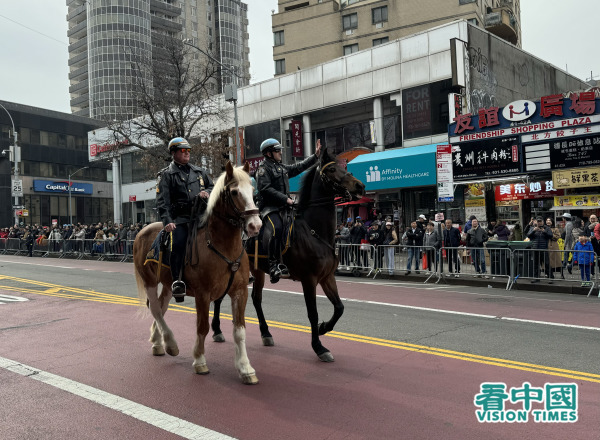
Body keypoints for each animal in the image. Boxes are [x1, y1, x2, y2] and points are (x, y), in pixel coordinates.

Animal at [134, 163, 260, 384]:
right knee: (156, 309)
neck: (223, 246)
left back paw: (158, 342)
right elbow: (202, 327)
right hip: (149, 280)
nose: (255, 225)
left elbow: (239, 331)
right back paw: (171, 344)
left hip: (169, 285)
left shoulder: (240, 292)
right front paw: (200, 361)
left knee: (161, 307)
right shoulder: (203, 294)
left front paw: (245, 368)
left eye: (253, 190)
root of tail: (142, 231)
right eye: (234, 192)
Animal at [211, 148, 366, 360]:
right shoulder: (309, 279)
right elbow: (312, 313)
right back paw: (217, 330)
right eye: (332, 169)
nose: (360, 186)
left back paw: (266, 333)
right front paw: (319, 347)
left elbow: (339, 307)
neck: (313, 230)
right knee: (220, 296)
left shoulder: (327, 277)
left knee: (256, 299)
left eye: (343, 166)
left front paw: (324, 327)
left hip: (257, 270)